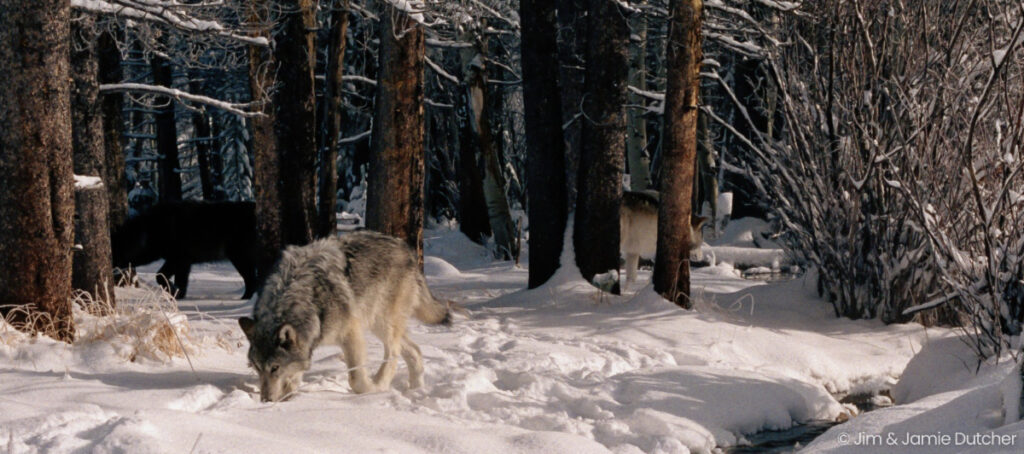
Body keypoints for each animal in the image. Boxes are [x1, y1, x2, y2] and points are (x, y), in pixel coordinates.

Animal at [112, 201, 259, 299]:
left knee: (251, 280)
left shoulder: (179, 259)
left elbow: (163, 277)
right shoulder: (181, 261)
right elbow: (170, 278)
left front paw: (175, 293)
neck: (150, 232)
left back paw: (245, 300)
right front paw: (177, 295)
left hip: (239, 257)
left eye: (114, 249)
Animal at [238, 231, 452, 402]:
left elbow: (356, 380)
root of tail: (406, 249)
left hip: (380, 322)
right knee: (414, 350)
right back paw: (417, 390)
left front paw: (370, 391)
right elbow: (294, 375)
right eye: (256, 368)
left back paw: (381, 385)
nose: (265, 401)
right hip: (379, 324)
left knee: (393, 352)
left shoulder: (351, 333)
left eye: (274, 368)